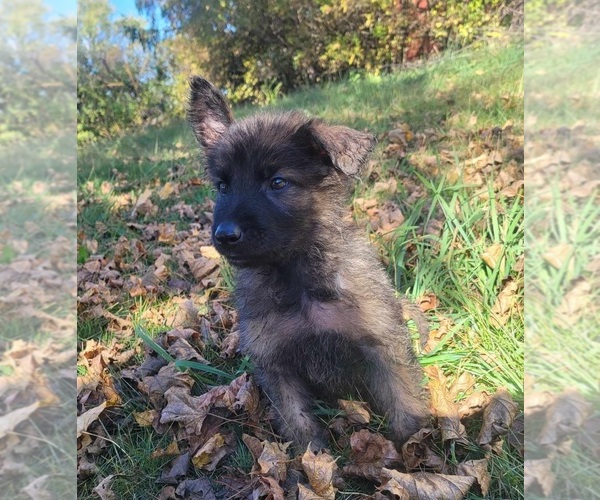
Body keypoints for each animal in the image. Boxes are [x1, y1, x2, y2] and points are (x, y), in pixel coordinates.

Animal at [190, 76, 428, 452]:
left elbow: (404, 404)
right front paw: (312, 460)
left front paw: (415, 451)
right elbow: (299, 424)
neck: (298, 279)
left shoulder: (382, 345)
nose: (225, 235)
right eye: (223, 186)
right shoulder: (276, 363)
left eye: (277, 182)